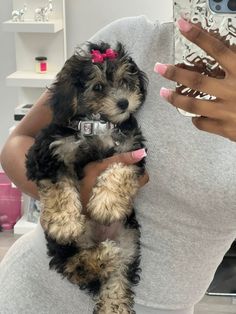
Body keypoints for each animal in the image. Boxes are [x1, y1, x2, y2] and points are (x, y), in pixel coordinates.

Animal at [25, 41, 148, 314]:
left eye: (125, 81)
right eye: (98, 87)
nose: (124, 103)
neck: (98, 124)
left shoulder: (131, 151)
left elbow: (119, 170)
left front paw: (107, 204)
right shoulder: (49, 154)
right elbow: (59, 186)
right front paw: (64, 222)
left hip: (129, 238)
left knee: (118, 275)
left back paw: (114, 302)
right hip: (65, 246)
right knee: (73, 266)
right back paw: (103, 257)